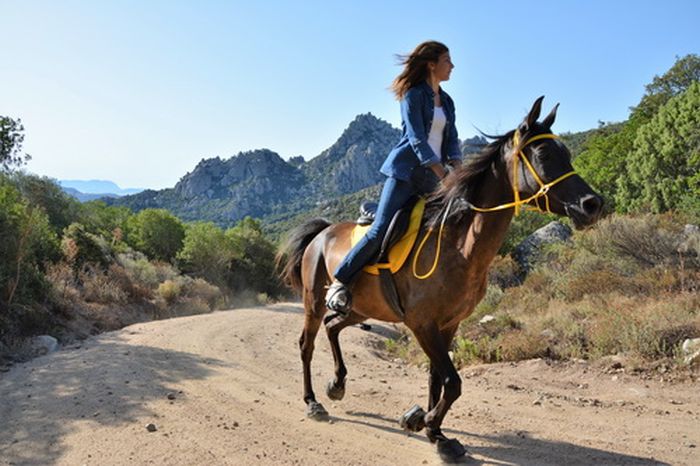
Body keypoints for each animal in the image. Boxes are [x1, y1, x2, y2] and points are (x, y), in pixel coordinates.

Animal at [276, 95, 604, 462]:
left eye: (567, 153)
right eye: (545, 155)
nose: (593, 204)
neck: (458, 246)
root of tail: (322, 232)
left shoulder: (448, 324)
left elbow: (439, 379)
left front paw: (433, 431)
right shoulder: (422, 324)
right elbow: (452, 381)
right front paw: (425, 422)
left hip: (360, 307)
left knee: (333, 326)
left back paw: (337, 385)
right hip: (313, 302)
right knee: (307, 344)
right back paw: (313, 402)